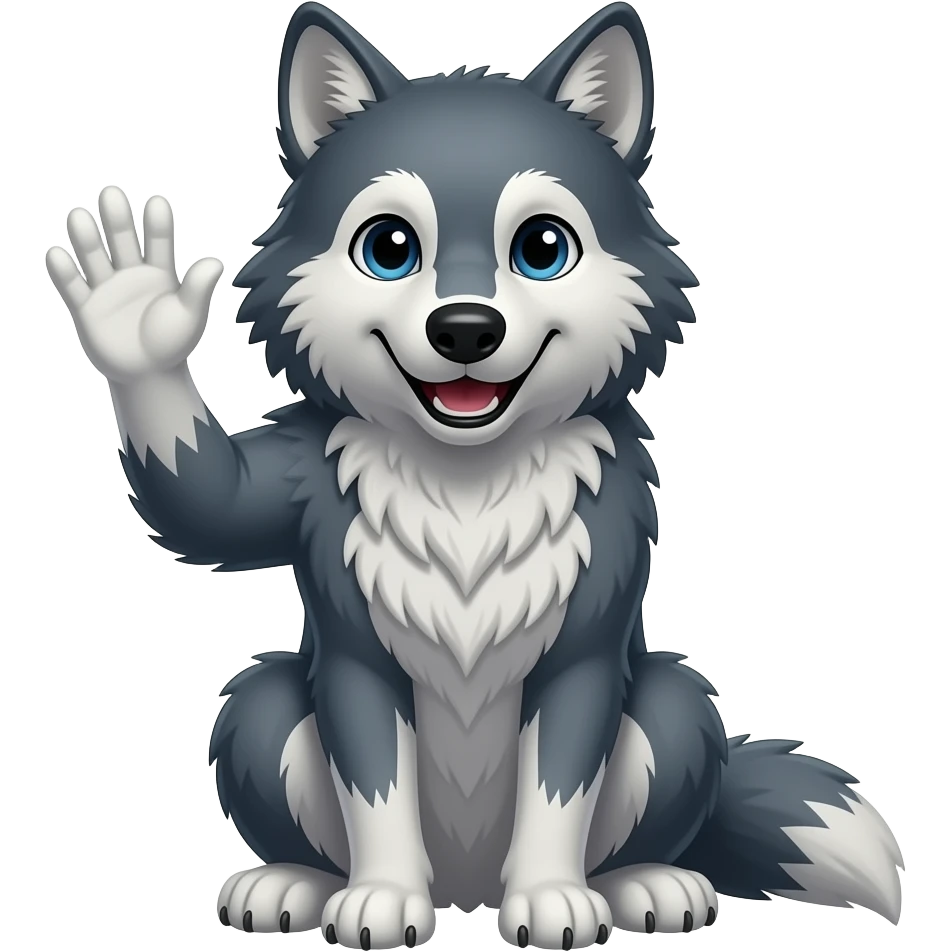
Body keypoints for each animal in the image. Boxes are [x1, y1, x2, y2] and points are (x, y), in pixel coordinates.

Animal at [45, 1, 904, 948]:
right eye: (389, 248)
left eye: (542, 248)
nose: (465, 329)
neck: (466, 482)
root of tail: (469, 889)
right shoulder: (336, 591)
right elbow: (210, 512)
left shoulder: (579, 657)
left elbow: (558, 787)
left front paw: (555, 899)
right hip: (257, 707)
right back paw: (293, 886)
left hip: (678, 707)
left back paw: (644, 884)